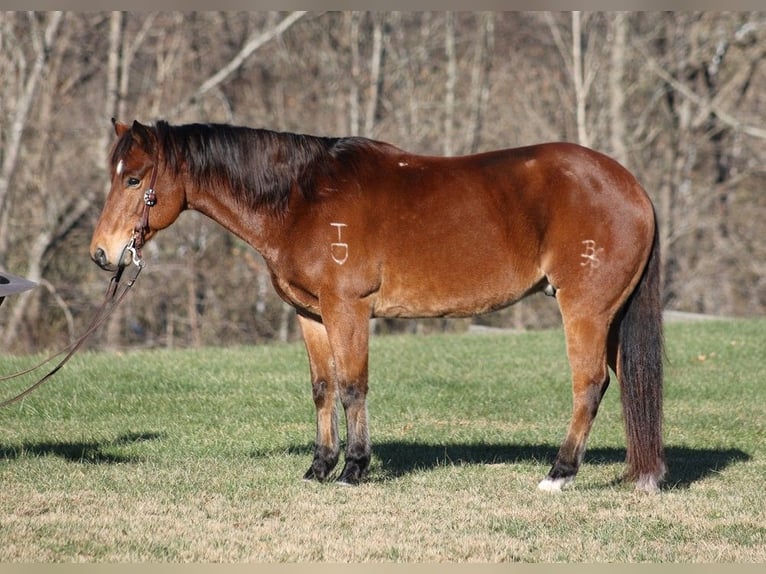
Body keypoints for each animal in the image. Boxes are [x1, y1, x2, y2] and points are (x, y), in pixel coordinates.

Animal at [90, 119, 664, 492]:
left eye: (134, 179)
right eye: (114, 175)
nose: (102, 253)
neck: (301, 198)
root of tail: (632, 186)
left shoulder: (348, 308)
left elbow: (352, 387)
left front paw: (354, 469)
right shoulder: (312, 315)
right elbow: (323, 389)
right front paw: (319, 467)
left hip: (585, 310)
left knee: (589, 384)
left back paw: (559, 474)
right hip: (610, 316)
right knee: (621, 381)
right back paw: (643, 475)